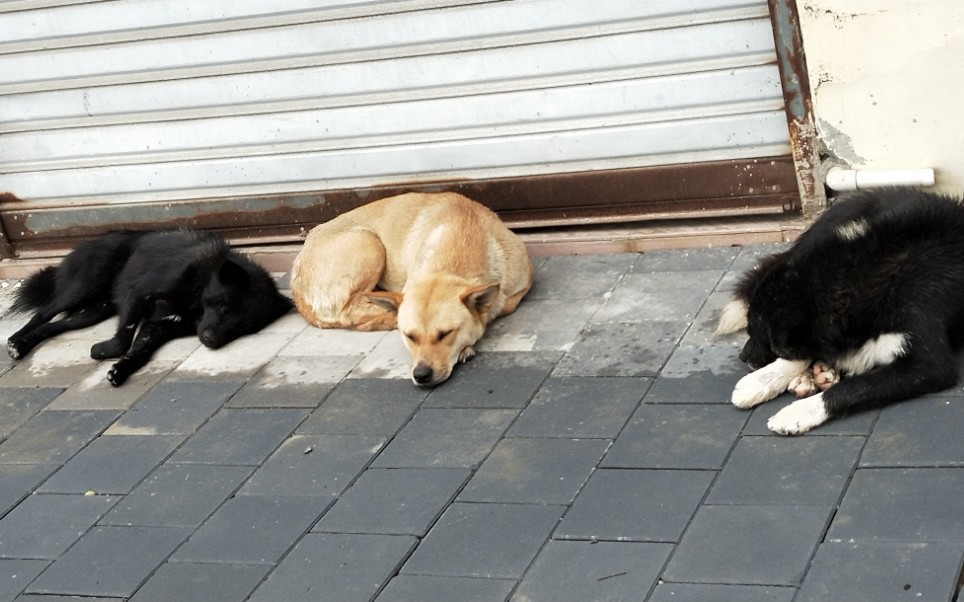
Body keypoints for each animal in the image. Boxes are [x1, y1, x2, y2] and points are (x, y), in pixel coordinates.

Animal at [6, 230, 294, 384]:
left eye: (242, 326)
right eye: (223, 304)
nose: (210, 340)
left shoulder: (158, 327)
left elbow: (139, 351)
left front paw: (120, 370)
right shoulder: (139, 293)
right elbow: (123, 340)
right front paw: (104, 352)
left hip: (94, 311)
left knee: (57, 325)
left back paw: (25, 343)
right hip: (84, 287)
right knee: (44, 312)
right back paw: (16, 341)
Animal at [294, 195, 536, 386]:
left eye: (446, 334)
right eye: (410, 336)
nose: (421, 375)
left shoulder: (522, 284)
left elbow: (504, 305)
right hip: (368, 242)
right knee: (349, 312)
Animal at [720, 186, 964, 432]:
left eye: (761, 336)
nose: (743, 357)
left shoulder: (927, 365)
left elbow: (854, 387)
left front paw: (798, 413)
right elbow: (808, 352)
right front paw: (765, 381)